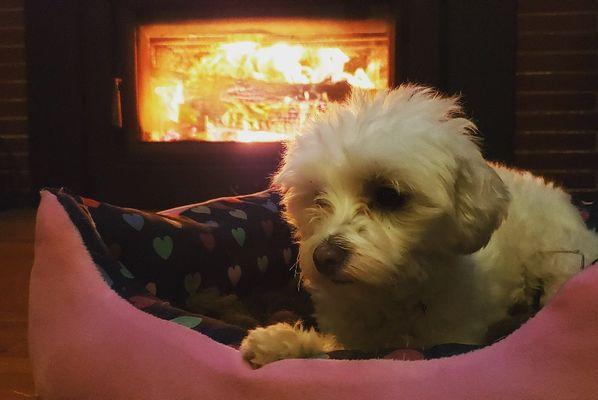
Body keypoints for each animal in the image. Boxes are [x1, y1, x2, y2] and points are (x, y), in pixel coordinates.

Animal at [239, 86, 598, 368]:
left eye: (388, 195)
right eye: (317, 198)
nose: (324, 257)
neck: (390, 299)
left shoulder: (453, 334)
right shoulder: (349, 337)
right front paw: (281, 343)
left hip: (557, 258)